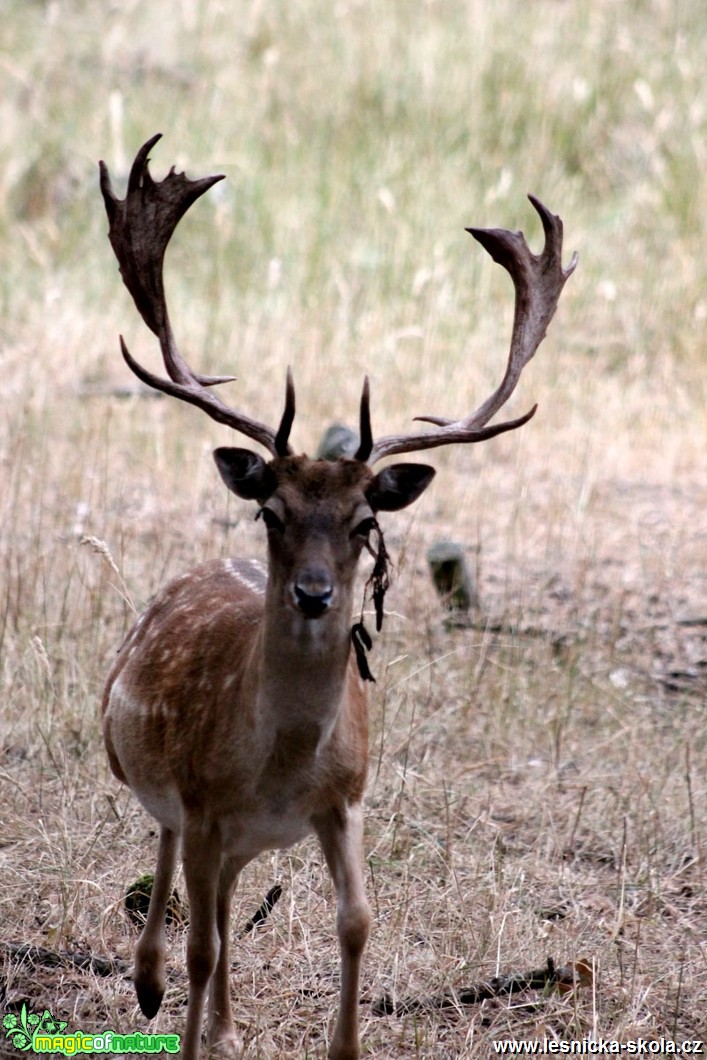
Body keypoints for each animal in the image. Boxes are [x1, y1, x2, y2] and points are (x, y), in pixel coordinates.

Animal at [98, 134, 576, 1060]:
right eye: (272, 509)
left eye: (363, 520)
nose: (315, 594)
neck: (278, 767)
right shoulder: (205, 803)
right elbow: (203, 938)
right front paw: (184, 1028)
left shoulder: (345, 799)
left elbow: (356, 920)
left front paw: (335, 1043)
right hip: (153, 776)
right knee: (178, 868)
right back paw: (149, 984)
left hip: (246, 839)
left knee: (224, 895)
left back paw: (225, 1023)